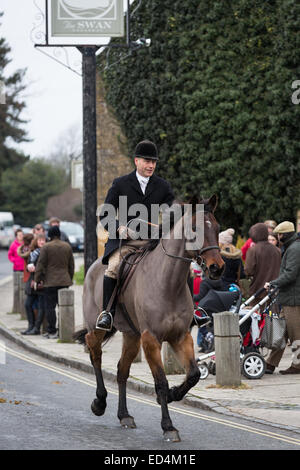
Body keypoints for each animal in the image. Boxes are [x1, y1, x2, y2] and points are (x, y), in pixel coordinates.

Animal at [75, 194, 225, 440]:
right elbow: (161, 381)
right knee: (95, 353)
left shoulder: (180, 336)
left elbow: (193, 374)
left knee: (122, 370)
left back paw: (124, 415)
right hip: (97, 327)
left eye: (218, 227)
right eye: (194, 229)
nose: (217, 268)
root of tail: (93, 266)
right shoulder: (151, 339)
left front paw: (174, 394)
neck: (168, 283)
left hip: (131, 335)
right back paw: (99, 402)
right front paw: (168, 426)